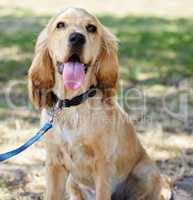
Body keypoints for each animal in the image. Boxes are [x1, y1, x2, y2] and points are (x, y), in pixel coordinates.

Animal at [27, 7, 172, 199]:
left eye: (91, 28)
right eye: (60, 25)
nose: (77, 38)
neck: (74, 105)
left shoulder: (103, 165)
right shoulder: (54, 164)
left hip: (147, 172)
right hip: (72, 182)